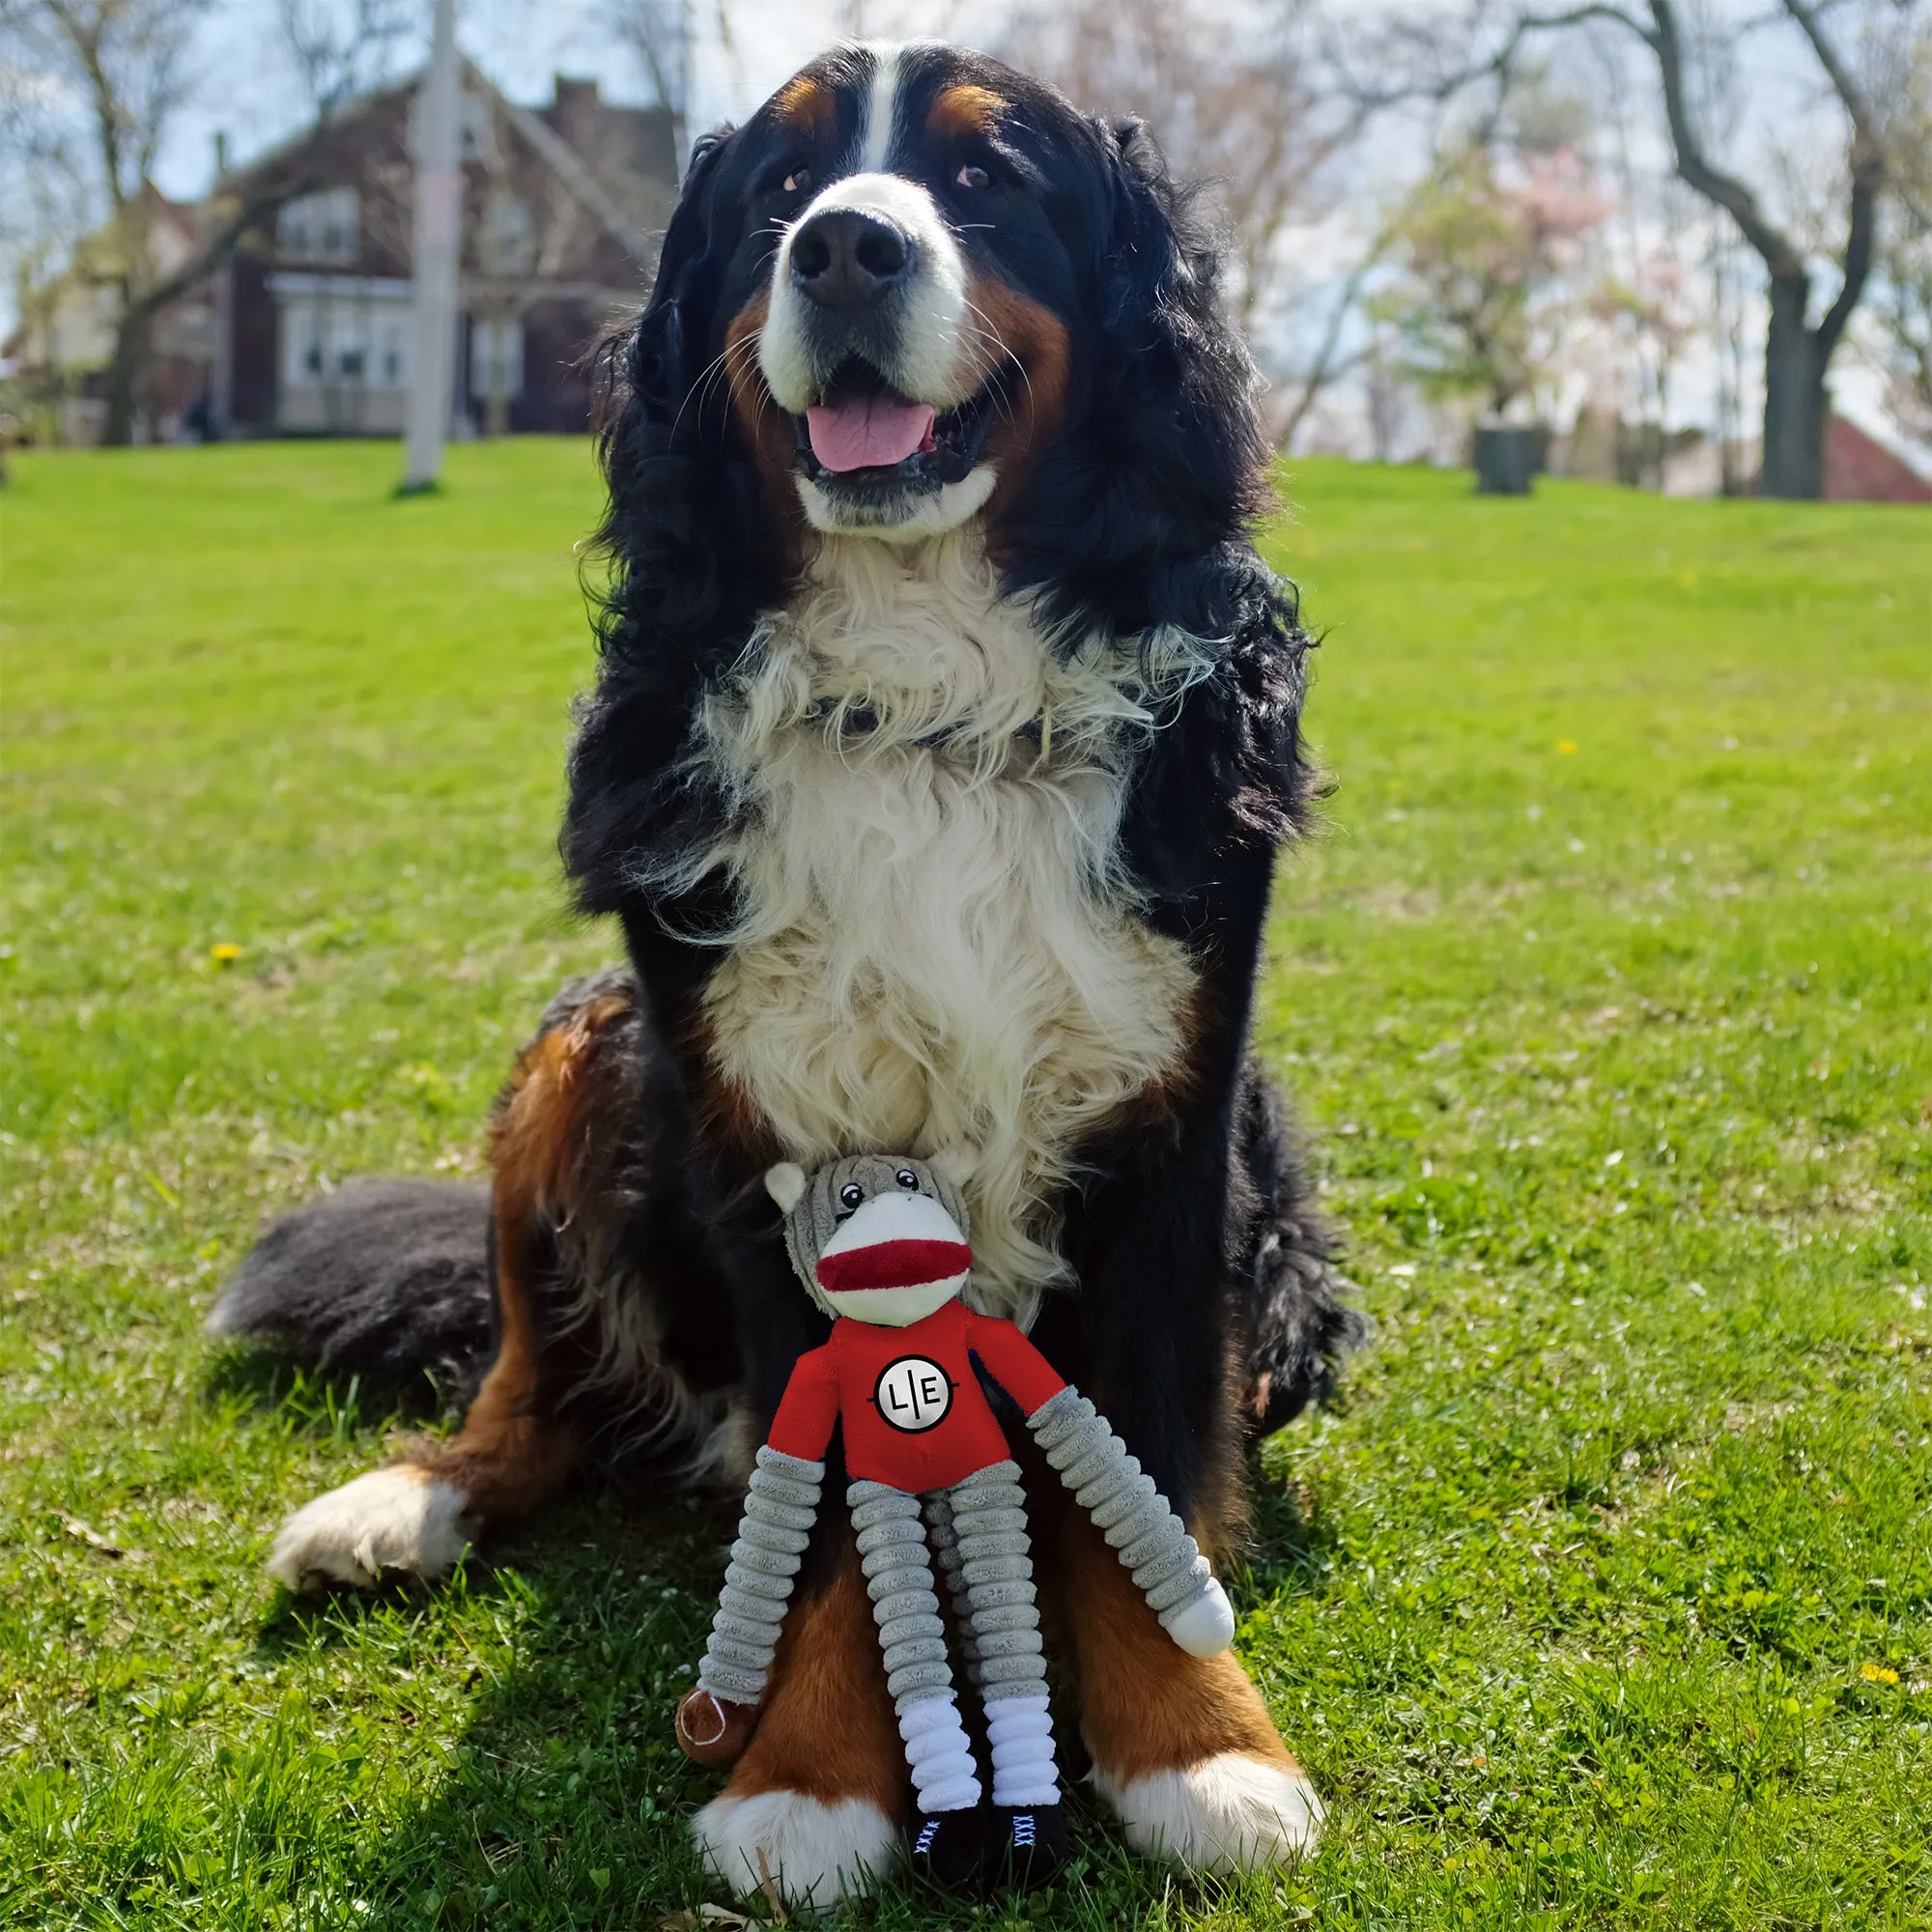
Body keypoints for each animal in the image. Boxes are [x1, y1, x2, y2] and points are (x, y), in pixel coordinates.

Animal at [212, 42, 1360, 1901]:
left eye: (982, 182)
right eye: (778, 191)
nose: (844, 249)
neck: (930, 700)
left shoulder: (1178, 1122)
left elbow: (1145, 1463)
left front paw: (1202, 1750)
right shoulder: (757, 1140)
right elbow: (814, 1489)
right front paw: (811, 1777)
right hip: (588, 1046)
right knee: (534, 1387)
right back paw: (401, 1504)